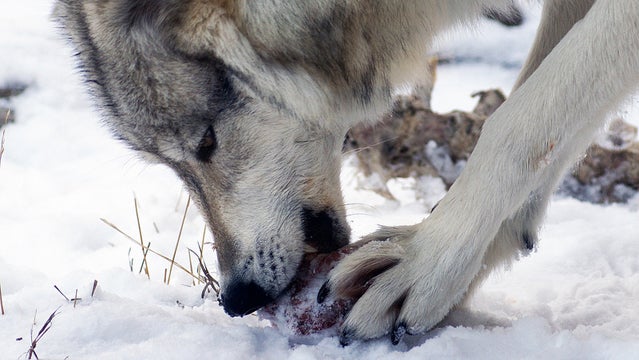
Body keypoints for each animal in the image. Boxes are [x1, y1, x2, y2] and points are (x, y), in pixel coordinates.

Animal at [55, 0, 639, 344]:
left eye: (206, 143)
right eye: (169, 163)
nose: (237, 298)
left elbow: (517, 118)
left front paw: (423, 263)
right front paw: (469, 268)